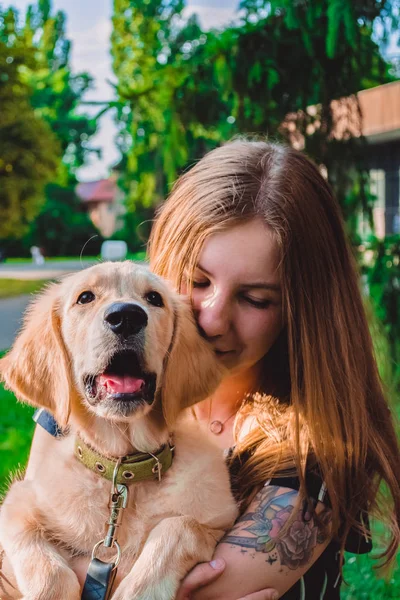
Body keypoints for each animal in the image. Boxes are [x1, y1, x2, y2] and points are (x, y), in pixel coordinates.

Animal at [0, 262, 238, 600]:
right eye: (85, 297)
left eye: (154, 298)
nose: (127, 316)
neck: (124, 473)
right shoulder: (18, 500)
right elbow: (45, 565)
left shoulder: (219, 521)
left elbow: (178, 527)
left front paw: (139, 591)